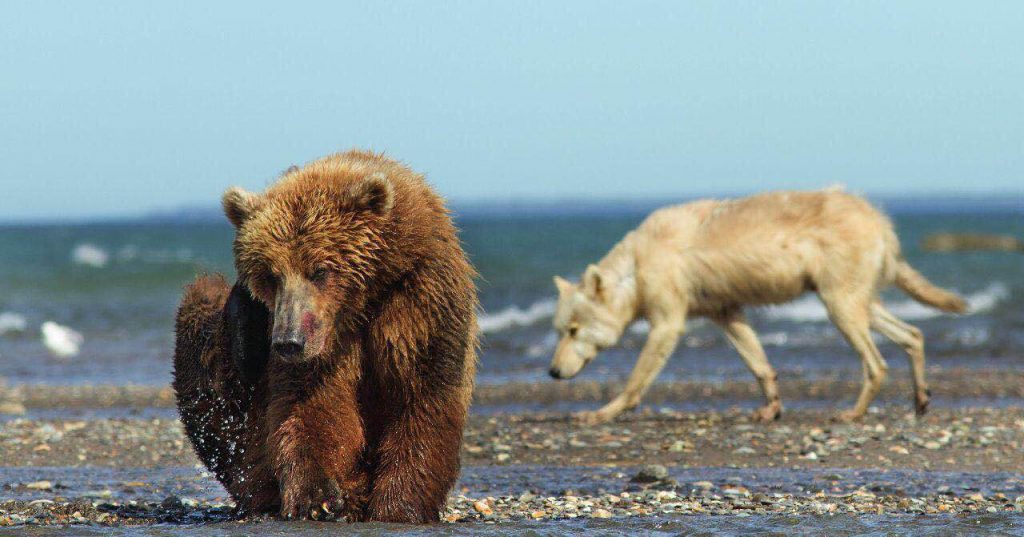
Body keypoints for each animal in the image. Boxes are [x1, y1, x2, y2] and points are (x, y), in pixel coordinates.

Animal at [174, 148, 477, 522]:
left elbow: (422, 394)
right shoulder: (319, 344)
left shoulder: (417, 301)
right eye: (271, 274)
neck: (359, 304)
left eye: (319, 270)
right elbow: (312, 406)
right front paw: (316, 498)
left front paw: (398, 505)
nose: (288, 341)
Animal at [548, 188, 962, 424]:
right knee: (913, 335)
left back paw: (854, 413)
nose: (551, 372)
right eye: (559, 331)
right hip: (857, 305)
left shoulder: (667, 326)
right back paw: (920, 400)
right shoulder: (726, 314)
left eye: (573, 330)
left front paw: (601, 414)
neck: (634, 270)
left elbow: (634, 383)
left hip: (840, 308)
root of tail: (878, 218)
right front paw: (771, 409)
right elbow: (761, 367)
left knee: (877, 365)